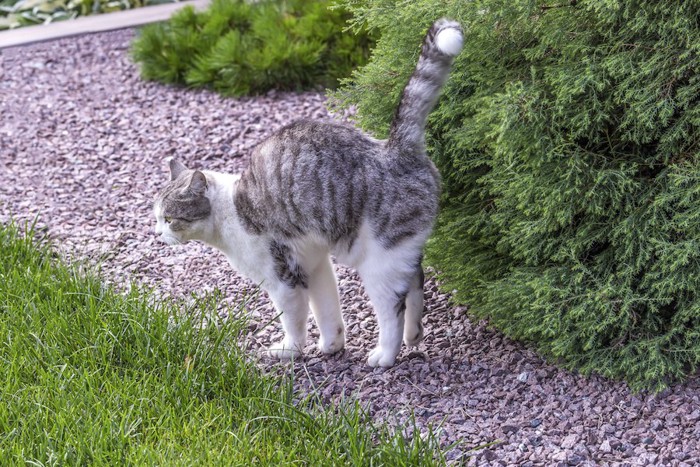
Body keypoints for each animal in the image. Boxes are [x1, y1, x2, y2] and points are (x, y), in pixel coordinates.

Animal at [150, 20, 462, 368]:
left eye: (170, 219)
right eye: (157, 218)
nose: (156, 233)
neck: (229, 211)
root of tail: (395, 149)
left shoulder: (282, 278)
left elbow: (293, 319)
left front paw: (290, 350)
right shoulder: (314, 265)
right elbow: (326, 310)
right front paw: (332, 345)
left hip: (380, 262)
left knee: (393, 308)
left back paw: (385, 354)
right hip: (401, 253)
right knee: (416, 281)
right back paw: (414, 335)